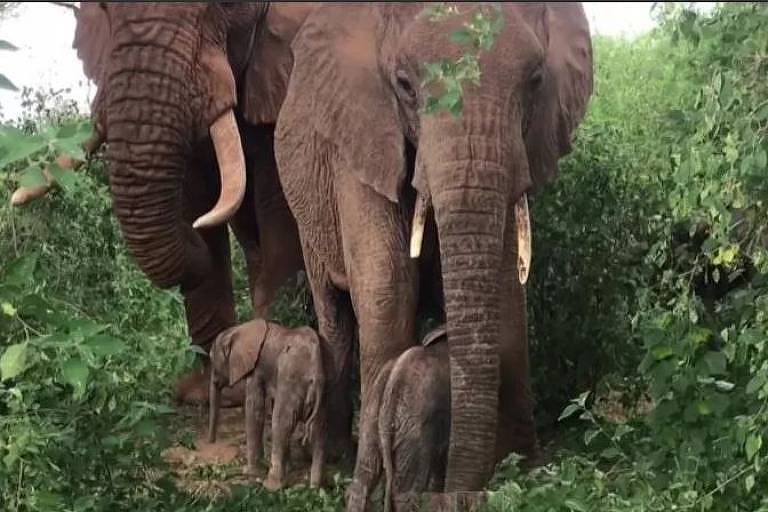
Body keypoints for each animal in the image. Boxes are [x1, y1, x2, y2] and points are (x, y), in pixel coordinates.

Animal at [58, 3, 314, 408]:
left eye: (226, 6)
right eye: (104, 9)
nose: (189, 232)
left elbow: (279, 202)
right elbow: (196, 191)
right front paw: (207, 392)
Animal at [207, 318, 324, 490]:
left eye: (211, 358)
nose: (211, 443)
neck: (238, 329)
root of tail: (316, 368)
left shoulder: (257, 369)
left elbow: (254, 407)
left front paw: (250, 472)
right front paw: (289, 468)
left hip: (292, 378)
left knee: (281, 422)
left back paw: (272, 485)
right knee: (320, 428)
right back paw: (316, 487)